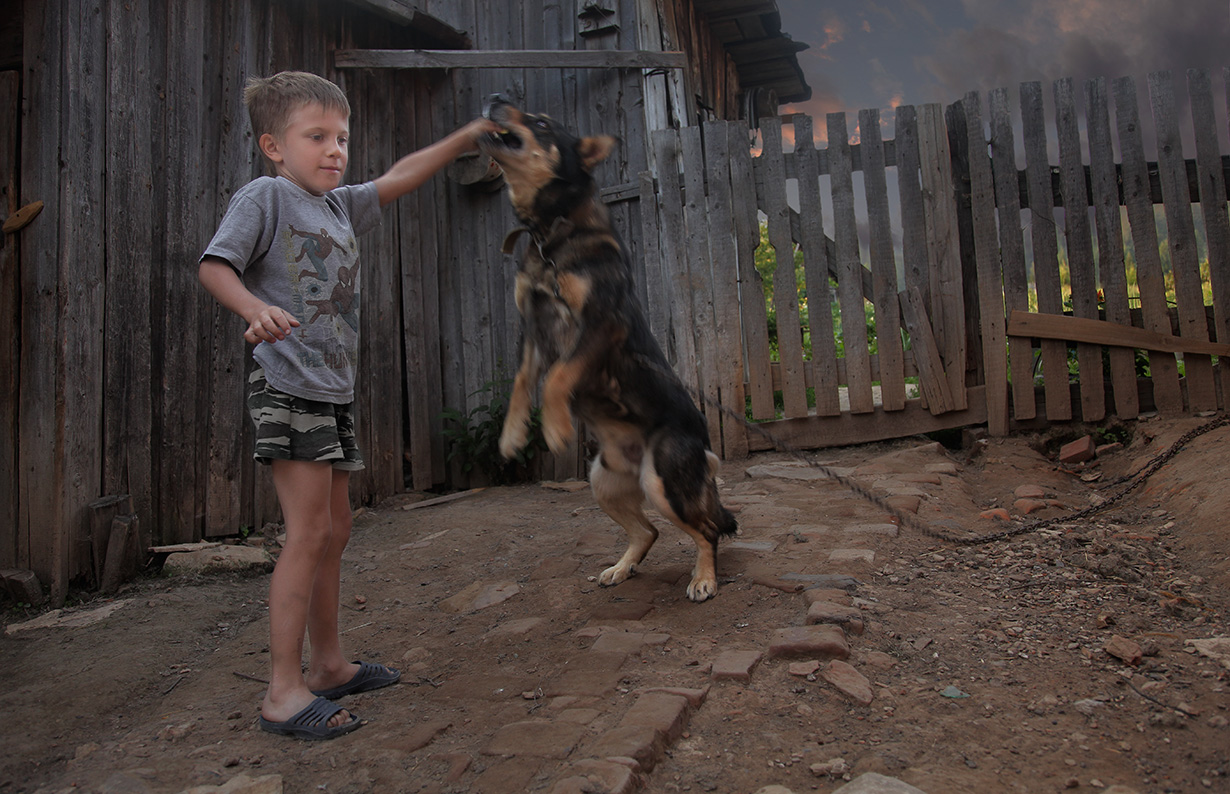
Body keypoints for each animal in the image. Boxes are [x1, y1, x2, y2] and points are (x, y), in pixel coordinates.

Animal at [477, 94, 728, 604]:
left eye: (540, 123)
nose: (494, 99)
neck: (551, 233)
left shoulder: (600, 322)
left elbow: (558, 376)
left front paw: (554, 428)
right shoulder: (532, 328)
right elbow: (522, 382)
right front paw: (512, 436)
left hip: (663, 481)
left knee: (709, 530)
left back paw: (704, 578)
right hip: (603, 482)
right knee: (649, 532)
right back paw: (622, 567)